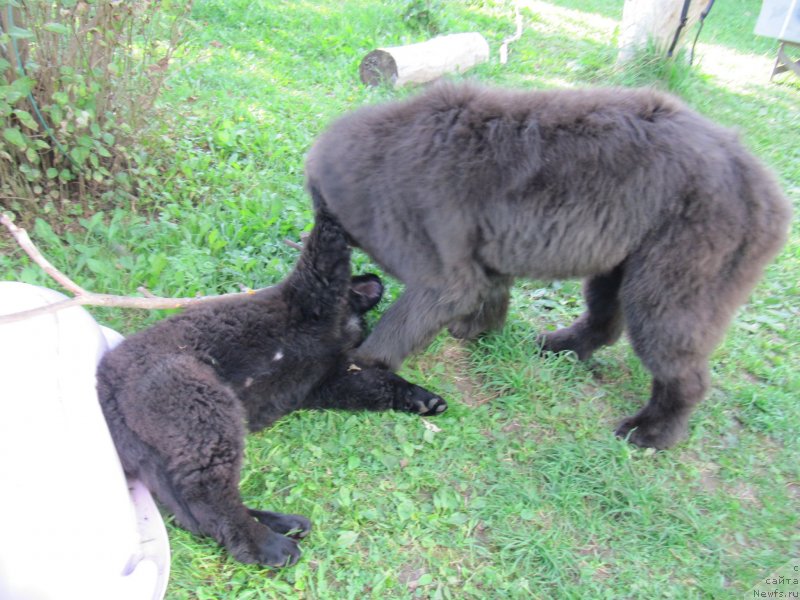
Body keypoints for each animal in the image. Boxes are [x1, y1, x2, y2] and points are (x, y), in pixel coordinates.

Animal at [95, 211, 444, 568]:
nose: (375, 277)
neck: (342, 321)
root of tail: (106, 385)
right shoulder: (314, 290)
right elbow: (327, 242)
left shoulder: (331, 379)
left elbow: (380, 383)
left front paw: (421, 398)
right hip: (200, 406)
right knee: (209, 498)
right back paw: (269, 545)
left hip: (166, 449)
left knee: (195, 512)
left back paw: (281, 524)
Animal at [304, 83, 788, 450]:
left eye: (324, 210)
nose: (317, 243)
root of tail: (768, 193)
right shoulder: (483, 249)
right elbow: (489, 291)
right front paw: (477, 331)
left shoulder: (441, 255)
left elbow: (419, 308)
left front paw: (362, 363)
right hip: (620, 255)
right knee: (605, 317)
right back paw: (559, 345)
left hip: (679, 269)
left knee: (679, 360)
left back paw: (651, 431)